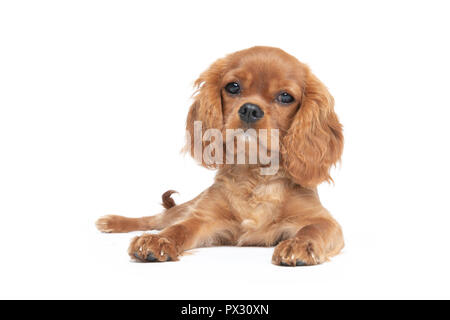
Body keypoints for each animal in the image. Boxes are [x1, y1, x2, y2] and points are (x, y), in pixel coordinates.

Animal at [96, 46, 344, 266]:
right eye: (233, 87)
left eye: (285, 97)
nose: (250, 109)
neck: (254, 175)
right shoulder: (203, 218)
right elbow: (180, 228)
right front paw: (159, 241)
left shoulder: (324, 221)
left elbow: (313, 228)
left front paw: (300, 245)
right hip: (184, 208)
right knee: (156, 219)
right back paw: (113, 221)